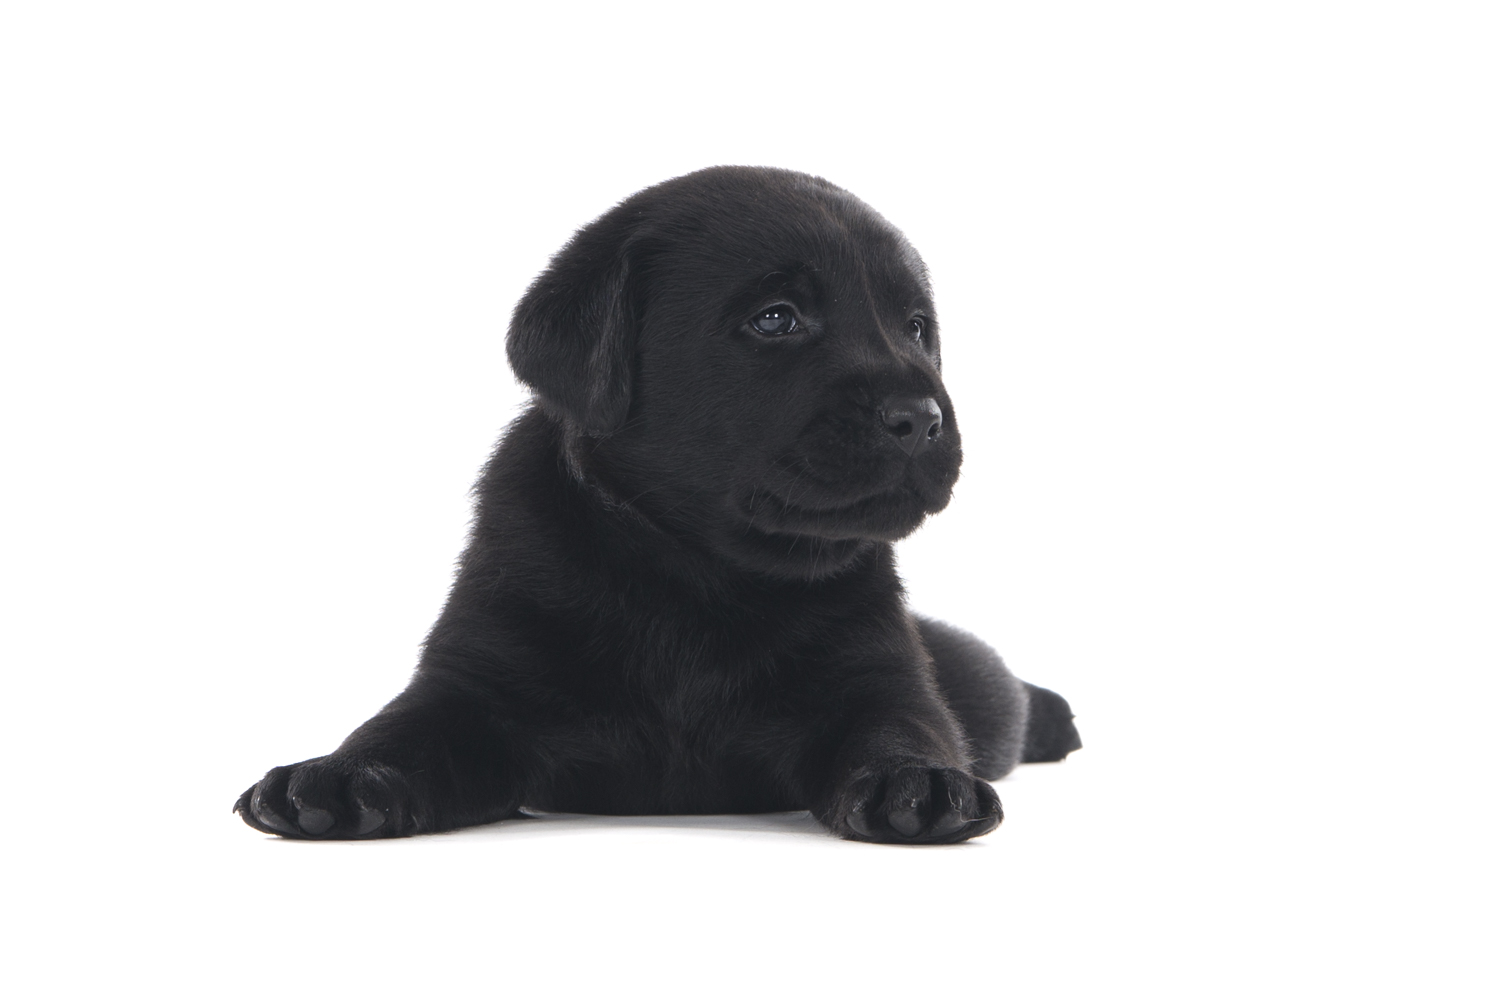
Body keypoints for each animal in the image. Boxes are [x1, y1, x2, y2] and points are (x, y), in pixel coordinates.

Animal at [235, 166, 1081, 844]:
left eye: (915, 328)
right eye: (776, 317)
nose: (922, 417)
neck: (694, 574)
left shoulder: (878, 673)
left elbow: (902, 725)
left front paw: (919, 782)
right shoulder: (474, 681)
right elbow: (399, 730)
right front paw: (338, 776)